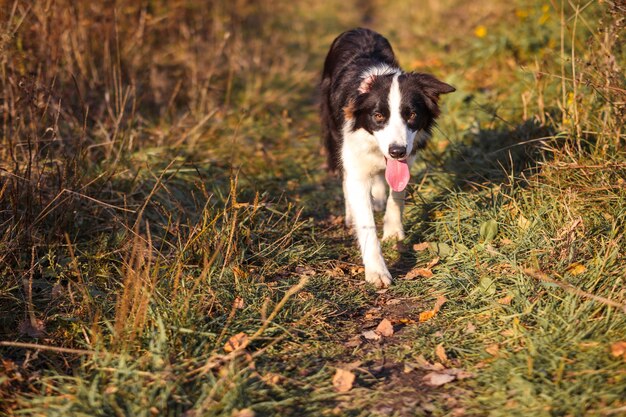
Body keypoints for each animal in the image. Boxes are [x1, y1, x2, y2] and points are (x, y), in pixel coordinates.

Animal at [320, 28, 450, 286]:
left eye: (412, 114)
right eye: (378, 116)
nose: (396, 151)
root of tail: (355, 29)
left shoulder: (408, 155)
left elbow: (397, 195)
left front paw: (392, 230)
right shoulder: (355, 159)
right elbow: (366, 222)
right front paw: (377, 271)